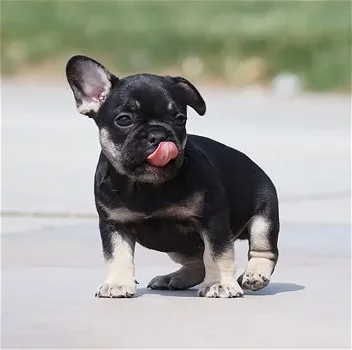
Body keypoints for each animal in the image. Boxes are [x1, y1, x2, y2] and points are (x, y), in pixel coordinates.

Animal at [66, 54, 280, 298]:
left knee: (263, 249)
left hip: (264, 214)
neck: (146, 185)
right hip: (178, 246)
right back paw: (173, 278)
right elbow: (117, 255)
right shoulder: (114, 224)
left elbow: (217, 254)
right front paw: (117, 283)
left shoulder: (213, 220)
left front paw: (221, 284)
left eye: (179, 119)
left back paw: (255, 274)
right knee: (198, 263)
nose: (159, 134)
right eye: (124, 119)